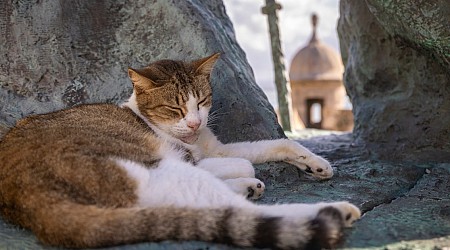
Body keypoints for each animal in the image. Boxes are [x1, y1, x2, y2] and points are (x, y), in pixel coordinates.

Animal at [0, 52, 360, 248]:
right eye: (174, 108)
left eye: (201, 102)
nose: (194, 123)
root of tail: (29, 200)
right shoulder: (190, 157)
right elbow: (245, 162)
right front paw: (246, 177)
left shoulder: (215, 147)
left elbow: (275, 144)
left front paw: (314, 162)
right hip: (151, 169)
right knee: (240, 213)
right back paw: (336, 211)